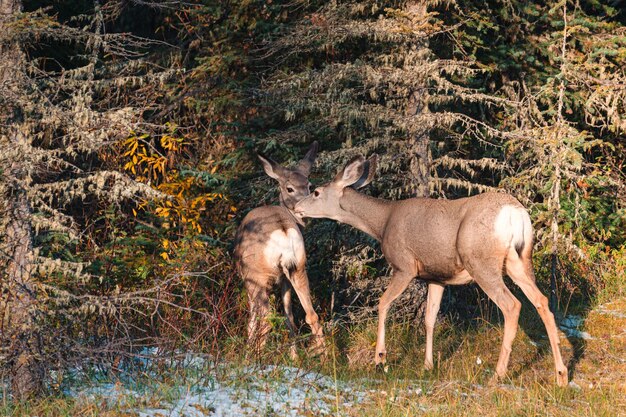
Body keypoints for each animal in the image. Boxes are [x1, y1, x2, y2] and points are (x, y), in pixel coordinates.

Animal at [232, 141, 324, 356]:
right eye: (290, 188)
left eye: (309, 185)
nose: (305, 206)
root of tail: (283, 229)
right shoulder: (285, 279)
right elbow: (289, 315)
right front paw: (294, 356)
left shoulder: (249, 277)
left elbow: (252, 318)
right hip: (298, 267)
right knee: (311, 315)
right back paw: (323, 356)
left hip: (257, 275)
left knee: (265, 319)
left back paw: (254, 357)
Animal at [292, 154, 564, 386]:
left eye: (316, 191)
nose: (296, 208)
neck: (382, 223)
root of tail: (515, 214)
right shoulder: (437, 277)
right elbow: (429, 318)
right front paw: (428, 365)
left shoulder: (405, 266)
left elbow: (383, 303)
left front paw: (380, 359)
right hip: (520, 261)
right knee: (542, 301)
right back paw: (561, 374)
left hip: (481, 262)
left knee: (512, 305)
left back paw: (497, 375)